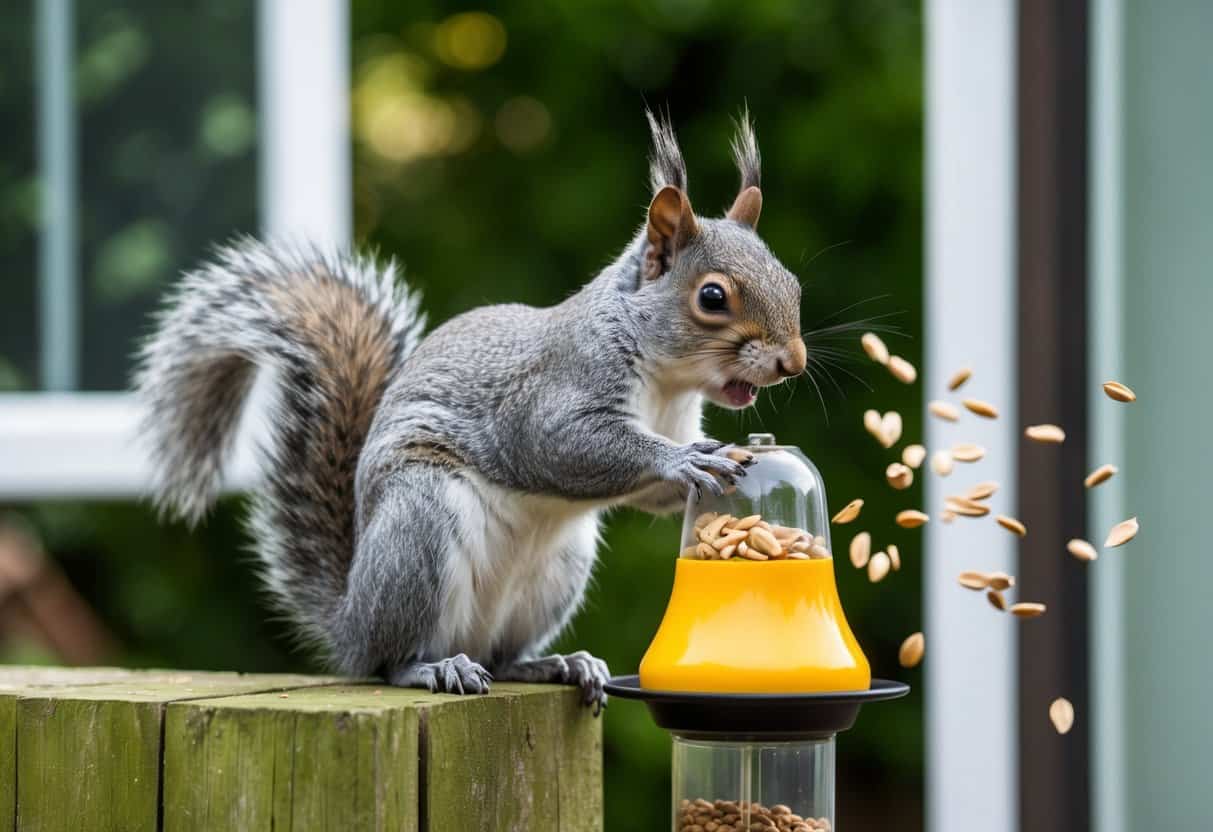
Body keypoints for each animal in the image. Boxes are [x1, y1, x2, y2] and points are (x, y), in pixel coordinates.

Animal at [134, 112, 805, 711]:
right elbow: (563, 446)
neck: (667, 382)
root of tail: (351, 619)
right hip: (420, 528)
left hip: (558, 569)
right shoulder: (552, 396)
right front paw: (684, 460)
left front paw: (719, 458)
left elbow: (655, 498)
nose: (793, 362)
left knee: (502, 658)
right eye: (712, 297)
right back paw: (432, 668)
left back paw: (557, 664)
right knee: (392, 660)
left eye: (793, 283)